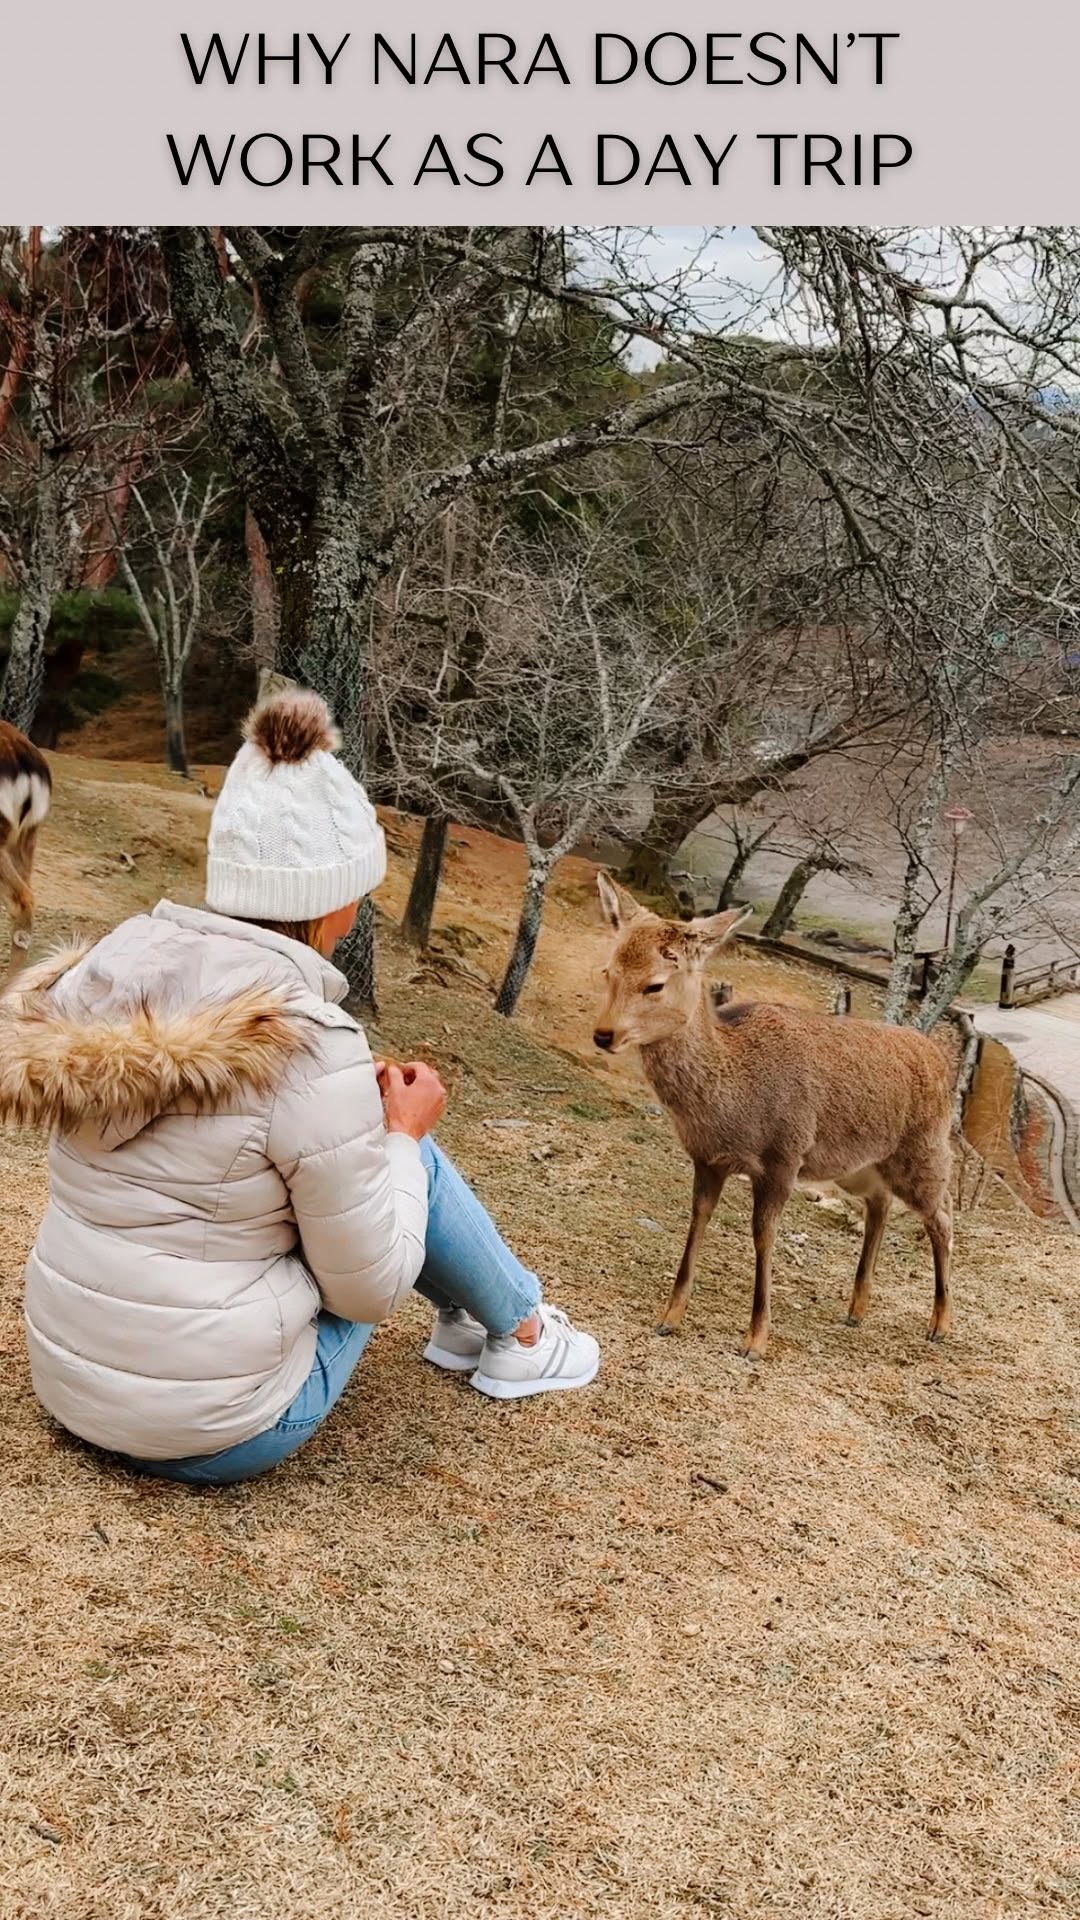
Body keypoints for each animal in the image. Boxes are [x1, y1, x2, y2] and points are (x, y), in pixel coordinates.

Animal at [592, 874, 954, 1359]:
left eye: (655, 984)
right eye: (609, 970)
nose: (603, 1034)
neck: (733, 1106)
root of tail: (940, 1059)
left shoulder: (784, 1157)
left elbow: (763, 1235)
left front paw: (756, 1339)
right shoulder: (707, 1159)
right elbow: (698, 1219)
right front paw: (668, 1318)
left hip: (925, 1152)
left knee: (943, 1218)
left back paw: (940, 1324)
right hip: (860, 1166)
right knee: (879, 1204)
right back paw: (856, 1310)